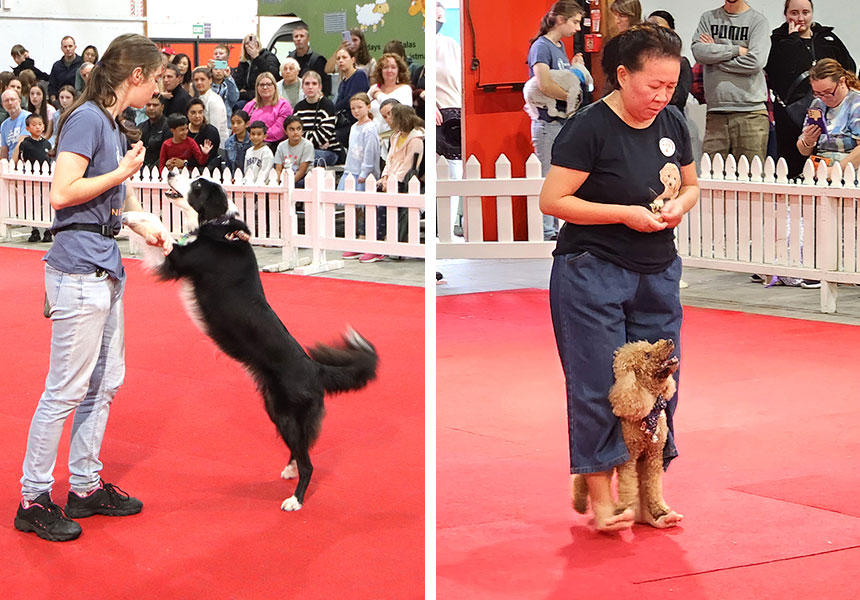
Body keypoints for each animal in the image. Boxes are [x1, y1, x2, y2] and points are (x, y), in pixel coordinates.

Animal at [130, 172, 376, 510]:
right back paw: (290, 468)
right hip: (275, 408)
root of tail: (315, 369)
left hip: (286, 412)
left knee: (309, 462)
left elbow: (159, 227)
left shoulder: (178, 260)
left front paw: (130, 217)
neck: (218, 226)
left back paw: (295, 499)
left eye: (197, 184)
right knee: (300, 447)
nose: (169, 170)